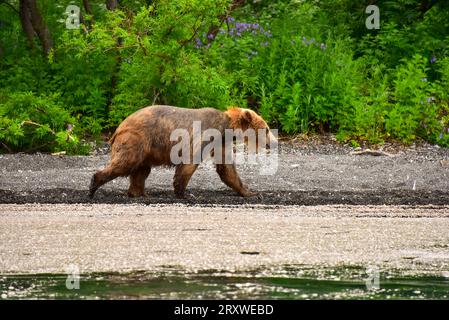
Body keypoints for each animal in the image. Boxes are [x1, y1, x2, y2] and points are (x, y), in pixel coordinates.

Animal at [88, 105, 272, 199]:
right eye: (267, 129)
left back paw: (139, 193)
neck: (227, 127)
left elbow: (227, 169)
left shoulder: (221, 143)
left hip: (147, 149)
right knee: (126, 163)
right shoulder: (205, 134)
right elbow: (189, 162)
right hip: (137, 139)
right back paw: (93, 185)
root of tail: (119, 128)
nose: (273, 143)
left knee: (141, 170)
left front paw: (250, 192)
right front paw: (184, 193)